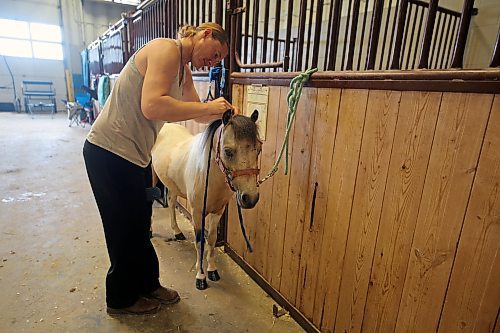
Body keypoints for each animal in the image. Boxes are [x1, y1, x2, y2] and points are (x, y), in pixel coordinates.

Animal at [151, 110, 262, 290]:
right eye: (228, 151)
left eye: (258, 149)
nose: (250, 198)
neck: (207, 174)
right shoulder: (197, 214)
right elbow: (199, 242)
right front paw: (200, 277)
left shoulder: (217, 212)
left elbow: (211, 239)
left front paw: (212, 270)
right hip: (152, 176)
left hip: (172, 185)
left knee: (172, 202)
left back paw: (177, 232)